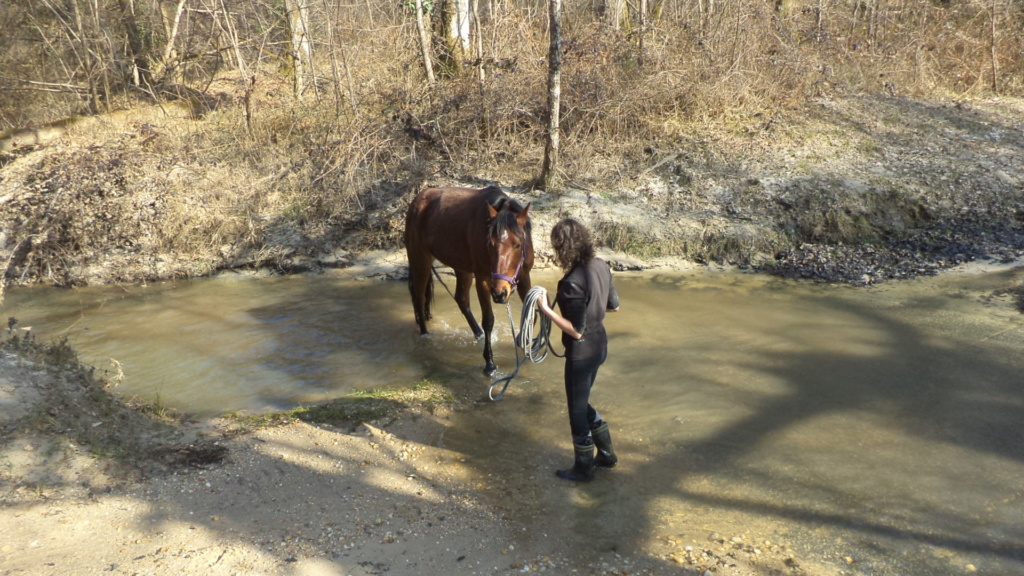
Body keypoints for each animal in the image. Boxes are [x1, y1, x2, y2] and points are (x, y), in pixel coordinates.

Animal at [403, 183, 536, 373]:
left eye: (517, 245)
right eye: (490, 244)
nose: (500, 293)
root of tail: (417, 200)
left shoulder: (524, 276)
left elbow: (531, 313)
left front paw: (526, 345)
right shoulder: (483, 280)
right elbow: (488, 320)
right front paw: (490, 364)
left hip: (461, 268)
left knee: (461, 299)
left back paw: (478, 334)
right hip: (420, 261)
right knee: (420, 299)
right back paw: (425, 335)